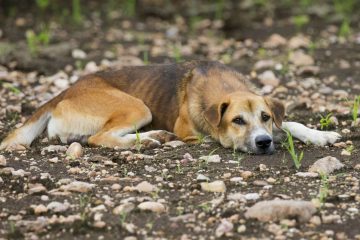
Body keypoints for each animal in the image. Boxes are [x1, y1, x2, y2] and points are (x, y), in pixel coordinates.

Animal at [0, 60, 340, 154]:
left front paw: (319, 135)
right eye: (237, 121)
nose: (264, 142)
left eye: (265, 117)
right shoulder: (195, 132)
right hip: (138, 107)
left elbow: (291, 124)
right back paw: (148, 141)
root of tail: (66, 91)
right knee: (99, 138)